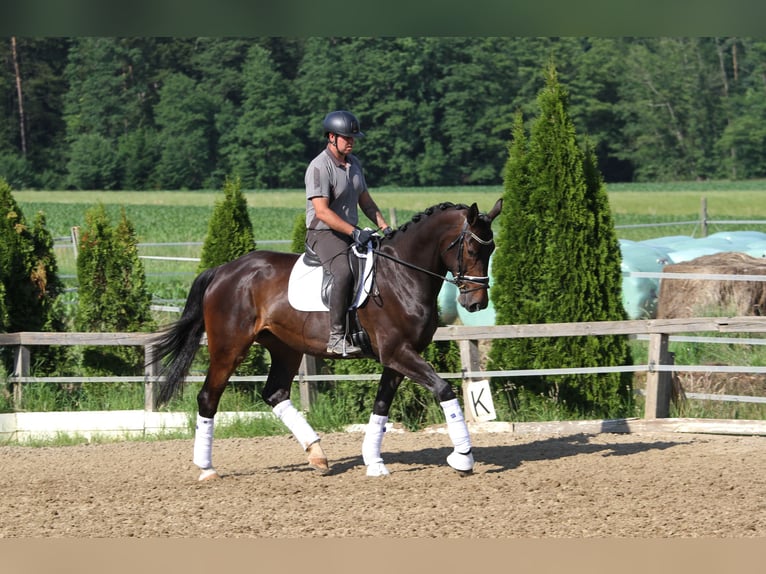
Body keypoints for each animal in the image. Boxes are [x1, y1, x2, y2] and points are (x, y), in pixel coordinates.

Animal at [152, 200, 504, 480]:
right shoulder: (397, 352)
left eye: (491, 250)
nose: (476, 304)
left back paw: (317, 455)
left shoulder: (398, 357)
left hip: (285, 349)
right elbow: (443, 389)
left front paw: (374, 462)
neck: (402, 275)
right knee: (208, 398)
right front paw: (463, 458)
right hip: (229, 348)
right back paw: (207, 468)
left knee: (275, 393)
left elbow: (381, 406)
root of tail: (224, 270)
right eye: (472, 249)